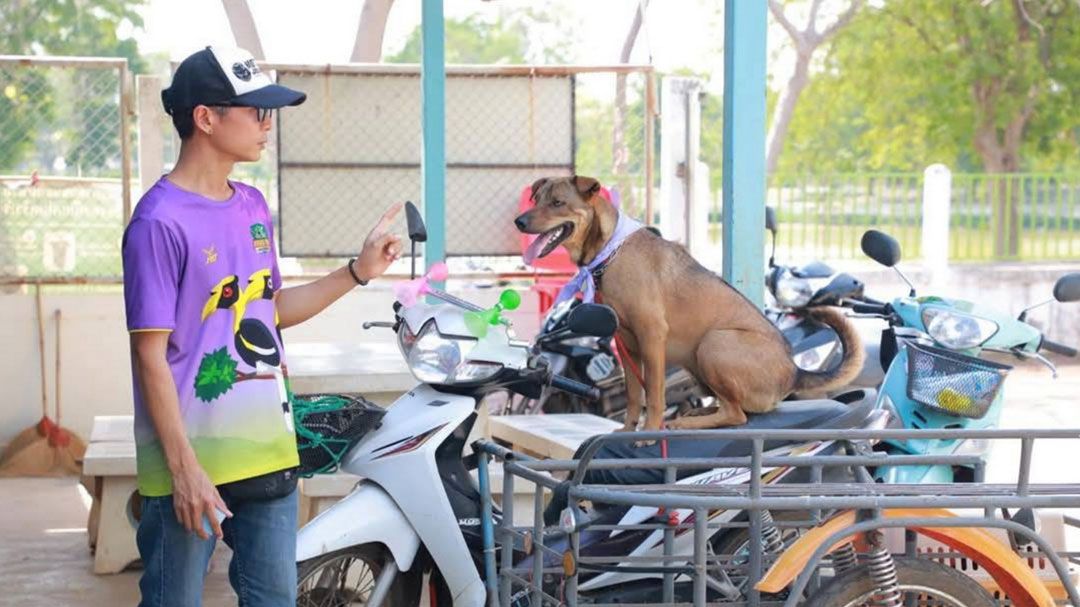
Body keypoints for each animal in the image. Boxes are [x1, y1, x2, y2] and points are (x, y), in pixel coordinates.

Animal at [515, 175, 864, 432]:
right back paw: (697, 416)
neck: (611, 250)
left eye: (557, 203)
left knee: (738, 415)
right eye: (536, 199)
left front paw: (649, 433)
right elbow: (634, 396)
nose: (519, 221)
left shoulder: (651, 335)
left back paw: (685, 423)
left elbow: (654, 395)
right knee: (733, 408)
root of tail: (794, 371)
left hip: (714, 343)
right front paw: (627, 431)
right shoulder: (625, 342)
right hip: (696, 360)